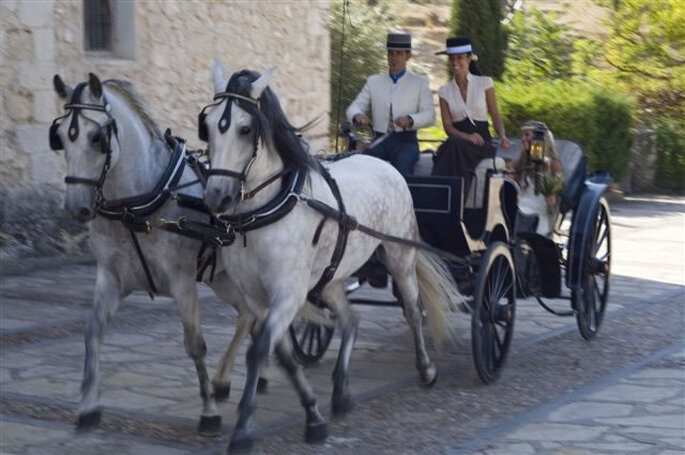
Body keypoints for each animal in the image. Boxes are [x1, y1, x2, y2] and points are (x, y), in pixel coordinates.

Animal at [50, 75, 260, 434]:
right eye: (61, 136)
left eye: (97, 137)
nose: (77, 207)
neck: (138, 202)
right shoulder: (110, 278)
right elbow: (93, 333)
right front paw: (89, 405)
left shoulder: (182, 282)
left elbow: (195, 344)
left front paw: (208, 413)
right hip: (221, 278)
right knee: (249, 315)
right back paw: (226, 381)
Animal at [200, 61, 462, 452]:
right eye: (208, 125)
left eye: (246, 129)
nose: (216, 197)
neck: (268, 209)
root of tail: (383, 163)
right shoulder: (258, 298)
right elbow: (282, 353)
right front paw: (312, 413)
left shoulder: (289, 293)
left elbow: (259, 350)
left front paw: (245, 428)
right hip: (332, 278)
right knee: (351, 321)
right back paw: (340, 392)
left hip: (399, 256)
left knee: (413, 311)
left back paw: (426, 369)